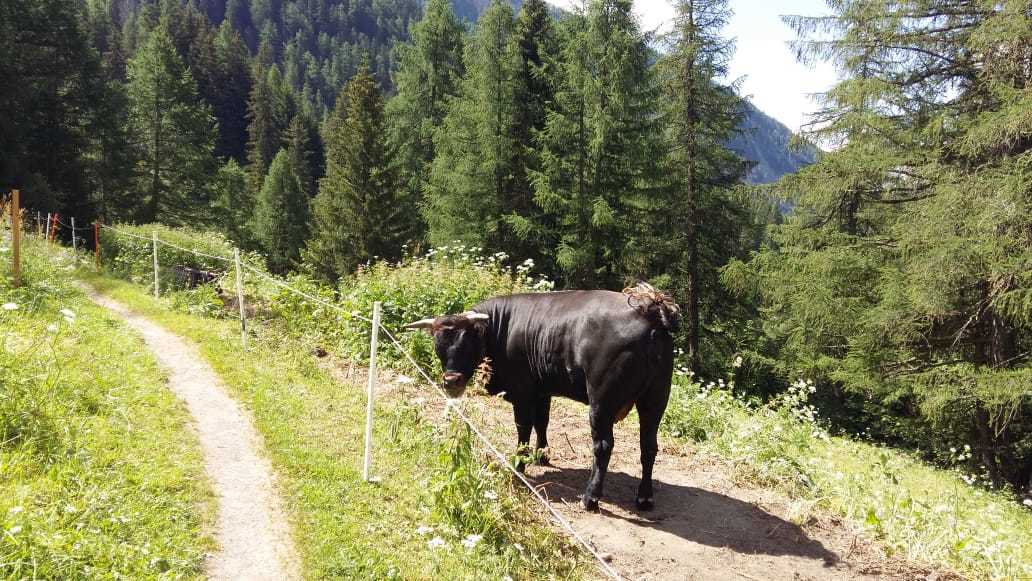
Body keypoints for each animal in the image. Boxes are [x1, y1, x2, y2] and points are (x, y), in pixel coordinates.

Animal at [406, 284, 681, 511]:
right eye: (438, 346)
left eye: (467, 342)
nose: (451, 381)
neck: (500, 329)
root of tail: (650, 311)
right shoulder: (542, 391)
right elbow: (542, 422)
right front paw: (542, 455)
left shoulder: (522, 394)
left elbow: (523, 429)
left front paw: (519, 465)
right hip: (656, 399)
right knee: (648, 447)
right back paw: (644, 497)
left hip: (601, 402)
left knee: (603, 446)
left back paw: (590, 497)